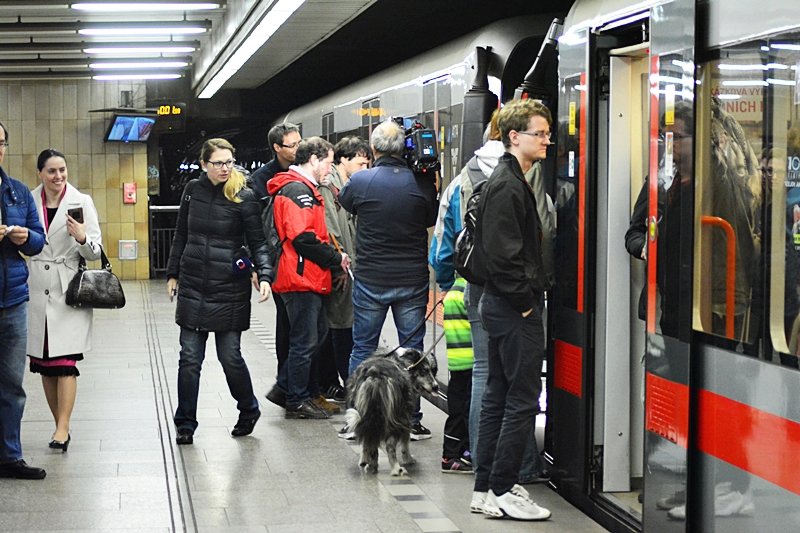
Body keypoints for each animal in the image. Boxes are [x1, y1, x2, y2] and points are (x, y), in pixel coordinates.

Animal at [346, 348, 438, 476]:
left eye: (432, 371)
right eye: (424, 371)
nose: (436, 387)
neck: (405, 363)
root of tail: (374, 377)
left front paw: (364, 459)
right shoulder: (406, 417)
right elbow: (405, 442)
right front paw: (408, 459)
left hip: (366, 414)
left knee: (369, 438)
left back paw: (371, 464)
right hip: (396, 417)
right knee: (390, 446)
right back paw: (396, 468)